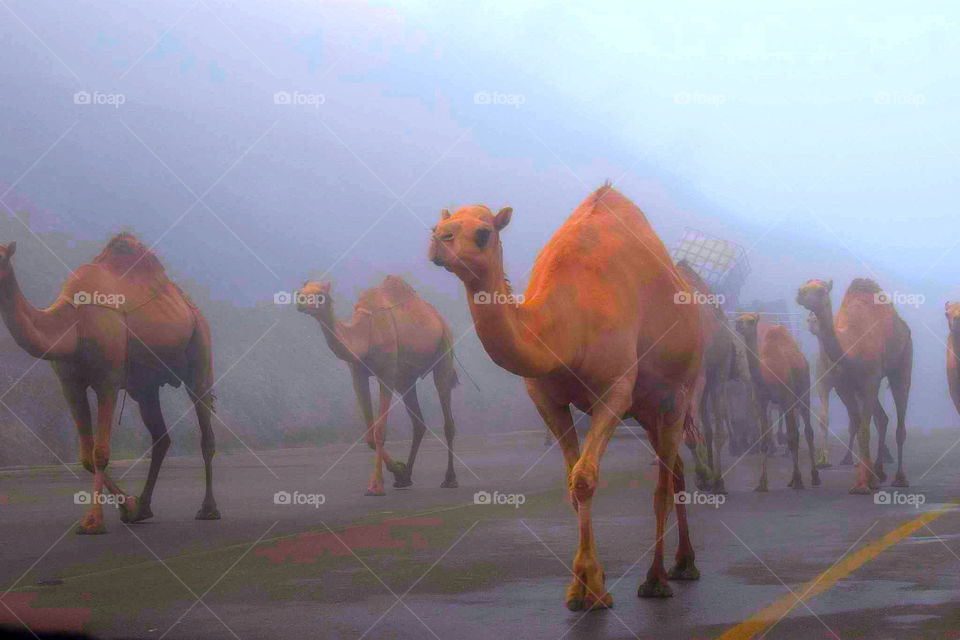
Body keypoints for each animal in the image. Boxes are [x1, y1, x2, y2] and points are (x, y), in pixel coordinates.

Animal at [0, 235, 219, 534]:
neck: (73, 324)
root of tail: (189, 306)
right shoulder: (70, 384)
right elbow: (85, 456)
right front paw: (129, 506)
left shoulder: (108, 381)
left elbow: (101, 452)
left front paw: (93, 521)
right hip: (144, 387)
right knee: (160, 436)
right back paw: (144, 508)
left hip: (200, 345)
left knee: (204, 424)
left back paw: (208, 509)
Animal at [295, 276, 459, 495]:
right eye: (300, 291)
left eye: (320, 294)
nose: (301, 301)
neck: (365, 334)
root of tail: (439, 318)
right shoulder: (357, 374)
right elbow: (370, 435)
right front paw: (398, 471)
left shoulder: (386, 374)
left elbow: (380, 430)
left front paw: (375, 486)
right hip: (406, 378)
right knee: (418, 422)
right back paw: (405, 478)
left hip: (444, 350)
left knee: (447, 412)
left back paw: (450, 479)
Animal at [430, 184, 703, 610]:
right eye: (440, 225)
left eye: (483, 232)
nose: (438, 242)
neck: (567, 324)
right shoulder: (545, 396)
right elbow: (571, 482)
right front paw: (583, 588)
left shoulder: (615, 389)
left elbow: (585, 479)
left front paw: (594, 590)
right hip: (646, 409)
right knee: (673, 469)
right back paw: (682, 562)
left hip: (677, 391)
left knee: (663, 481)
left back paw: (659, 578)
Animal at [735, 314, 819, 491]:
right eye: (739, 318)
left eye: (751, 320)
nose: (738, 325)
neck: (766, 375)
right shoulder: (760, 403)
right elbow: (764, 440)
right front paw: (762, 483)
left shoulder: (786, 399)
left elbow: (792, 438)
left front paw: (799, 480)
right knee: (795, 431)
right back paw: (792, 479)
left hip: (803, 393)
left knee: (807, 431)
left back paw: (814, 476)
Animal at [805, 312, 892, 468]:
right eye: (809, 319)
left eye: (817, 319)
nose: (811, 321)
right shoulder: (823, 383)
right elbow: (824, 418)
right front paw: (823, 460)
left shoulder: (849, 386)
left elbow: (858, 419)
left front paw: (858, 460)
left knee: (872, 416)